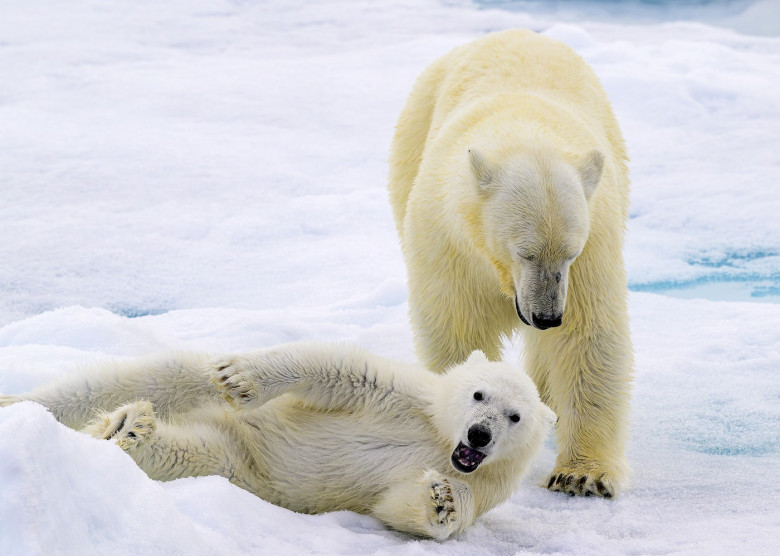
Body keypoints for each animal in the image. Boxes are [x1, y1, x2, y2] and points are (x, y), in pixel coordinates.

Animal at [3, 344, 556, 540]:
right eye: (478, 393)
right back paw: (27, 407)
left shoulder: (485, 484)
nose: (479, 435)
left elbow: (400, 506)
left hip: (239, 463)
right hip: (200, 398)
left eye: (515, 416)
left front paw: (441, 500)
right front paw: (242, 375)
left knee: (190, 453)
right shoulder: (403, 397)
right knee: (148, 376)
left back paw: (129, 431)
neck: (437, 438)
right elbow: (336, 370)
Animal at [390, 30, 632, 498]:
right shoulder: (450, 243)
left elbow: (588, 334)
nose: (547, 316)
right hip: (411, 137)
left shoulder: (594, 243)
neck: (524, 130)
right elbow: (457, 326)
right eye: (525, 252)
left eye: (569, 253)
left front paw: (581, 475)